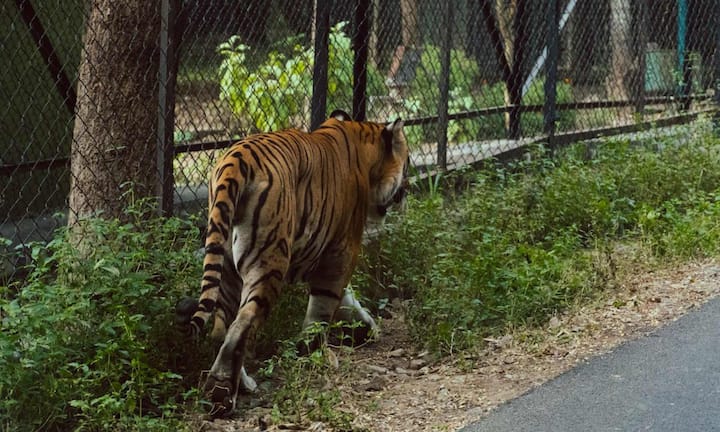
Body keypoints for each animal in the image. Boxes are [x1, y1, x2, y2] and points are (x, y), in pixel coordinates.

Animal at [176, 110, 409, 417]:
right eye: (407, 161)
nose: (406, 190)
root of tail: (235, 161)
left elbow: (346, 299)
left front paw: (365, 329)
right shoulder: (341, 251)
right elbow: (324, 306)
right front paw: (315, 351)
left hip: (225, 263)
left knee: (221, 327)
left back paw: (240, 384)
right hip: (269, 263)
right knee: (243, 321)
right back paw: (222, 393)